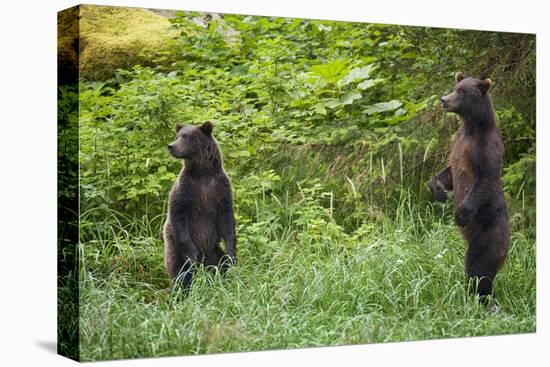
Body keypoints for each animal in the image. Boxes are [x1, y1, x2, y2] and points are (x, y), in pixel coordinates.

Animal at [164, 121, 237, 290]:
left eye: (187, 137)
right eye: (177, 136)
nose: (171, 146)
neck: (203, 172)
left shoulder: (220, 189)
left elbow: (227, 220)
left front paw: (232, 253)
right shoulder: (186, 190)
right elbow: (179, 215)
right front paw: (193, 253)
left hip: (213, 249)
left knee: (220, 264)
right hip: (175, 248)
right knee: (180, 273)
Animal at [432, 72, 512, 302]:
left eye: (461, 92)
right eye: (455, 87)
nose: (444, 100)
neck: (472, 127)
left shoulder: (486, 147)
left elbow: (486, 179)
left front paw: (460, 213)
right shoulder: (459, 141)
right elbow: (449, 170)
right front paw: (438, 189)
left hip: (488, 233)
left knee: (479, 267)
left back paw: (482, 298)